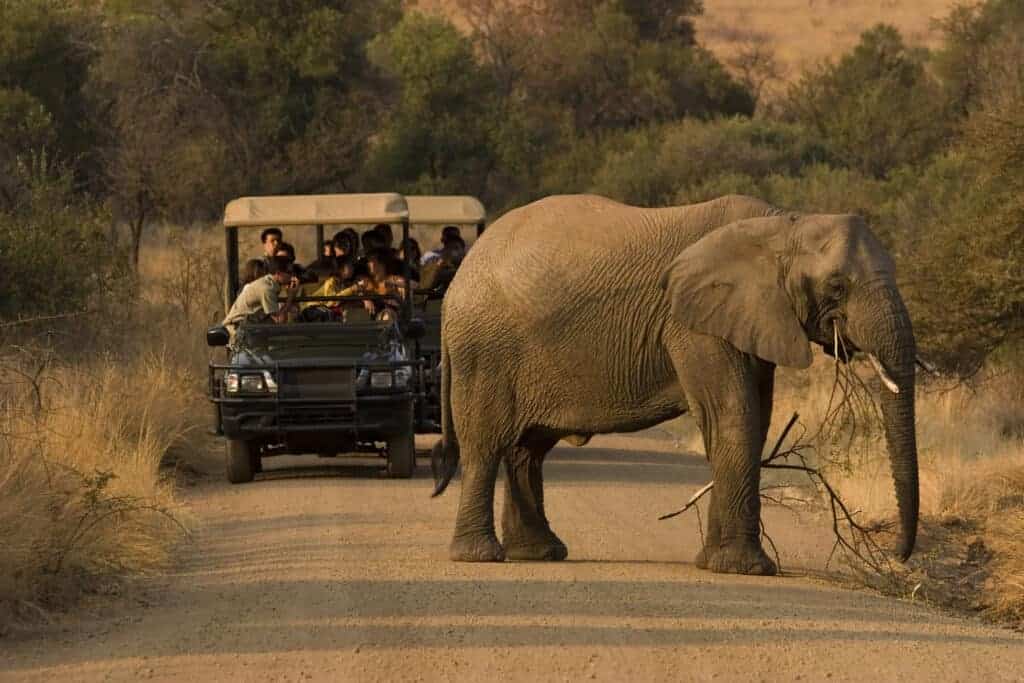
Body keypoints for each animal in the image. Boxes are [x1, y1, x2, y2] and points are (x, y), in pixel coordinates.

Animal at [430, 194, 918, 576]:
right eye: (837, 286)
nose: (897, 556)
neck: (783, 223)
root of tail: (458, 280)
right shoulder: (692, 324)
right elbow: (733, 414)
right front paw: (745, 569)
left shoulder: (746, 317)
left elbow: (754, 420)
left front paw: (715, 562)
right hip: (484, 351)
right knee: (485, 445)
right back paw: (481, 556)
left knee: (527, 450)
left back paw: (539, 553)